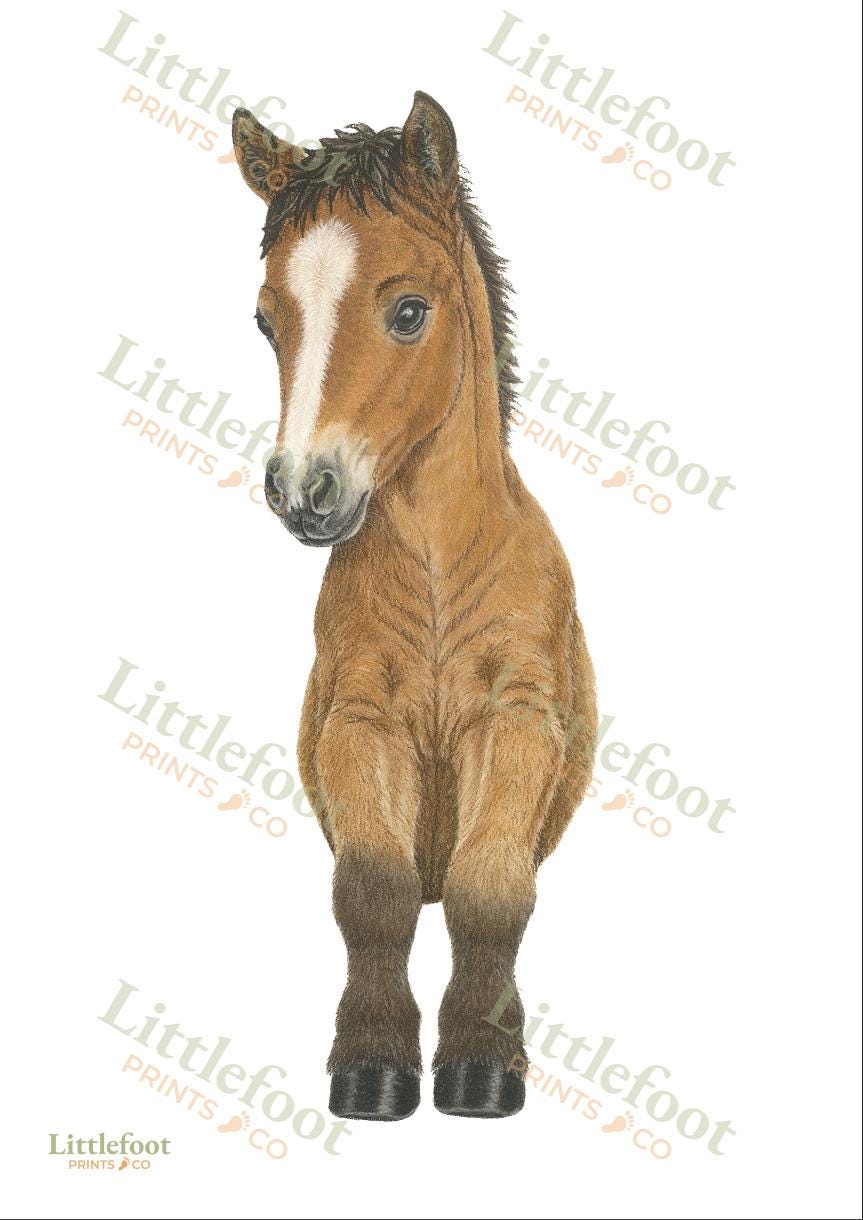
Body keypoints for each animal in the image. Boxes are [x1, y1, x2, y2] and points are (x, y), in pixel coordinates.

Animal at [231, 91, 597, 1121]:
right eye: (266, 320)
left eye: (407, 311)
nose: (301, 491)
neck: (437, 569)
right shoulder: (361, 722)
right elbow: (373, 892)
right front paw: (370, 1066)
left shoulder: (516, 718)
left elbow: (490, 888)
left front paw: (481, 1066)